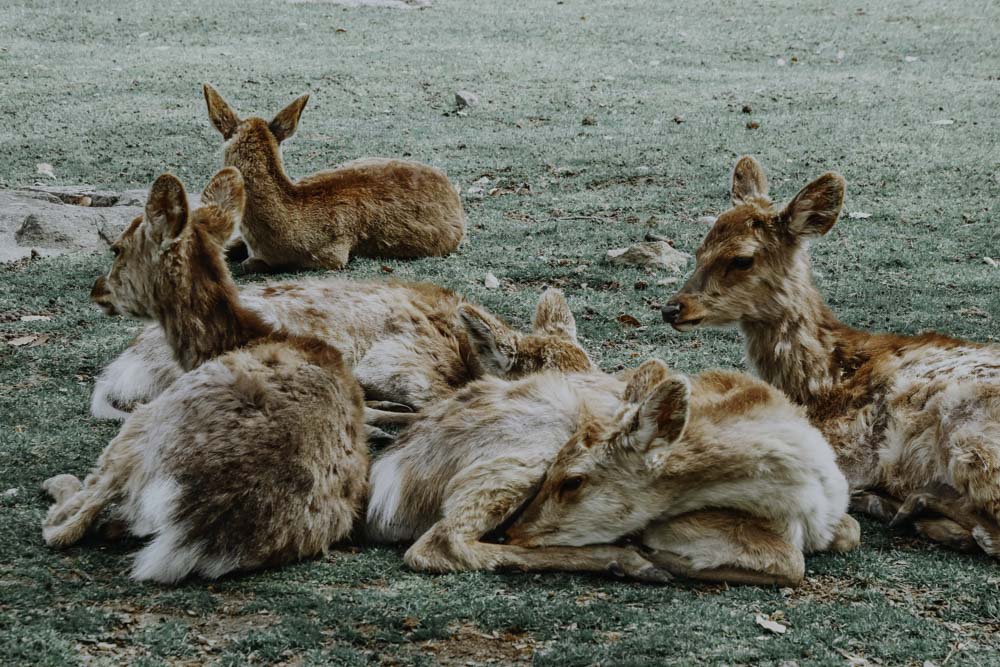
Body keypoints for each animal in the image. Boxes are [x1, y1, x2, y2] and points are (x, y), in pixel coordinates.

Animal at [40, 170, 368, 580]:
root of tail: (194, 527)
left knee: (68, 524)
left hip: (143, 424)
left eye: (116, 248)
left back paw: (58, 487)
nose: (97, 289)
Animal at [372, 352, 856, 588]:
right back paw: (626, 562)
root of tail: (389, 476)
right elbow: (791, 561)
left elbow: (850, 532)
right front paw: (663, 558)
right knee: (439, 543)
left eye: (573, 481)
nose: (513, 532)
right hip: (521, 455)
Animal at [664, 157, 1000, 560]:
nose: (672, 308)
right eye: (700, 249)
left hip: (969, 432)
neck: (823, 382)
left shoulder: (847, 446)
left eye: (742, 259)